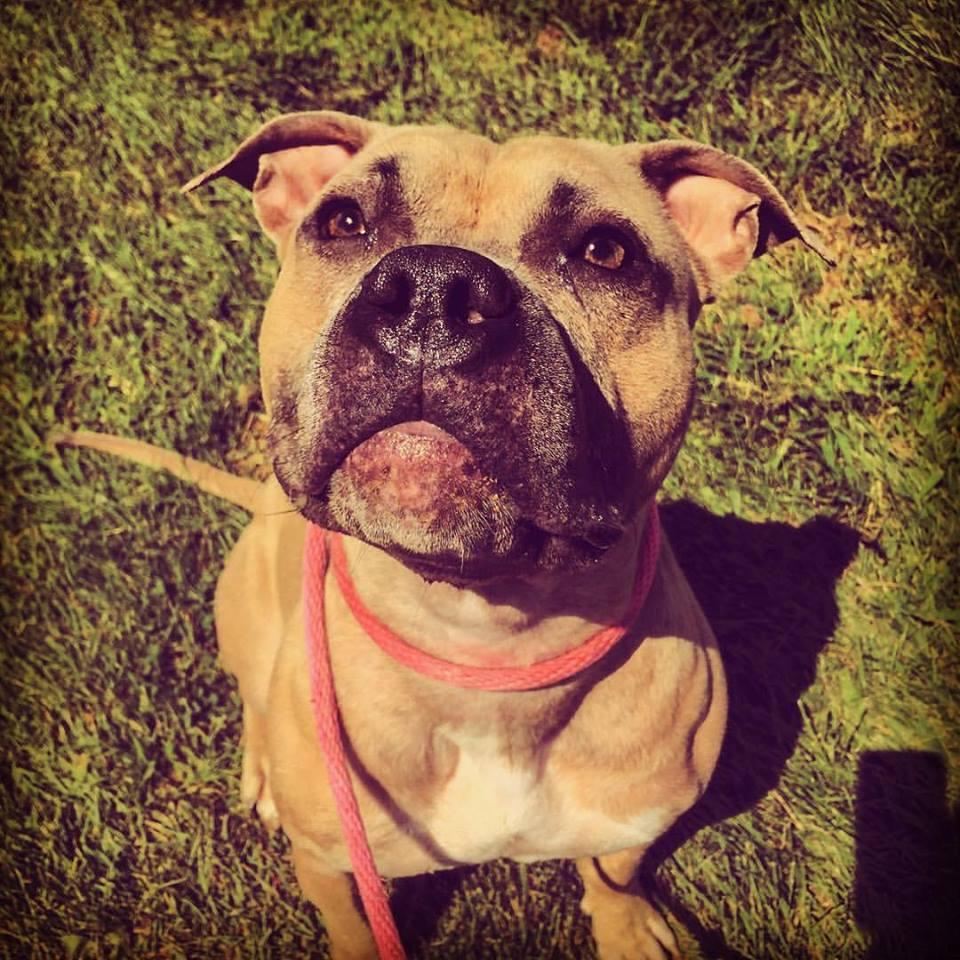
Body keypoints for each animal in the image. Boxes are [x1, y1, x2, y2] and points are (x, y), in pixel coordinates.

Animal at [56, 109, 828, 956]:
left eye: (605, 251)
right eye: (344, 222)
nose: (432, 290)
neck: (484, 648)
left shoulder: (636, 817)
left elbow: (615, 875)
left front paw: (626, 929)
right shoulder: (330, 863)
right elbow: (353, 925)